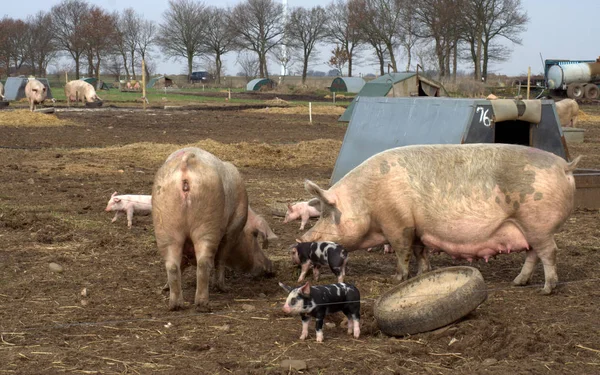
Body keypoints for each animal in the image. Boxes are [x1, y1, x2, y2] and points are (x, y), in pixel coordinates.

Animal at [155, 147, 276, 312]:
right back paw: (205, 302)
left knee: (172, 265)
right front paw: (222, 287)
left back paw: (175, 305)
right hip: (207, 223)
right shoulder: (232, 229)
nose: (271, 269)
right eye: (254, 236)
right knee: (204, 262)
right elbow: (222, 257)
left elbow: (182, 264)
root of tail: (185, 163)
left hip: (166, 226)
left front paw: (165, 287)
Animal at [302, 145, 584, 296]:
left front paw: (396, 279)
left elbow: (402, 251)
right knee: (534, 254)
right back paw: (518, 282)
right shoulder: (418, 228)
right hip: (530, 228)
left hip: (538, 224)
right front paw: (423, 273)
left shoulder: (398, 223)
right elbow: (420, 252)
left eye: (327, 213)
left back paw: (545, 289)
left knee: (549, 252)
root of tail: (565, 166)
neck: (366, 200)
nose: (302, 238)